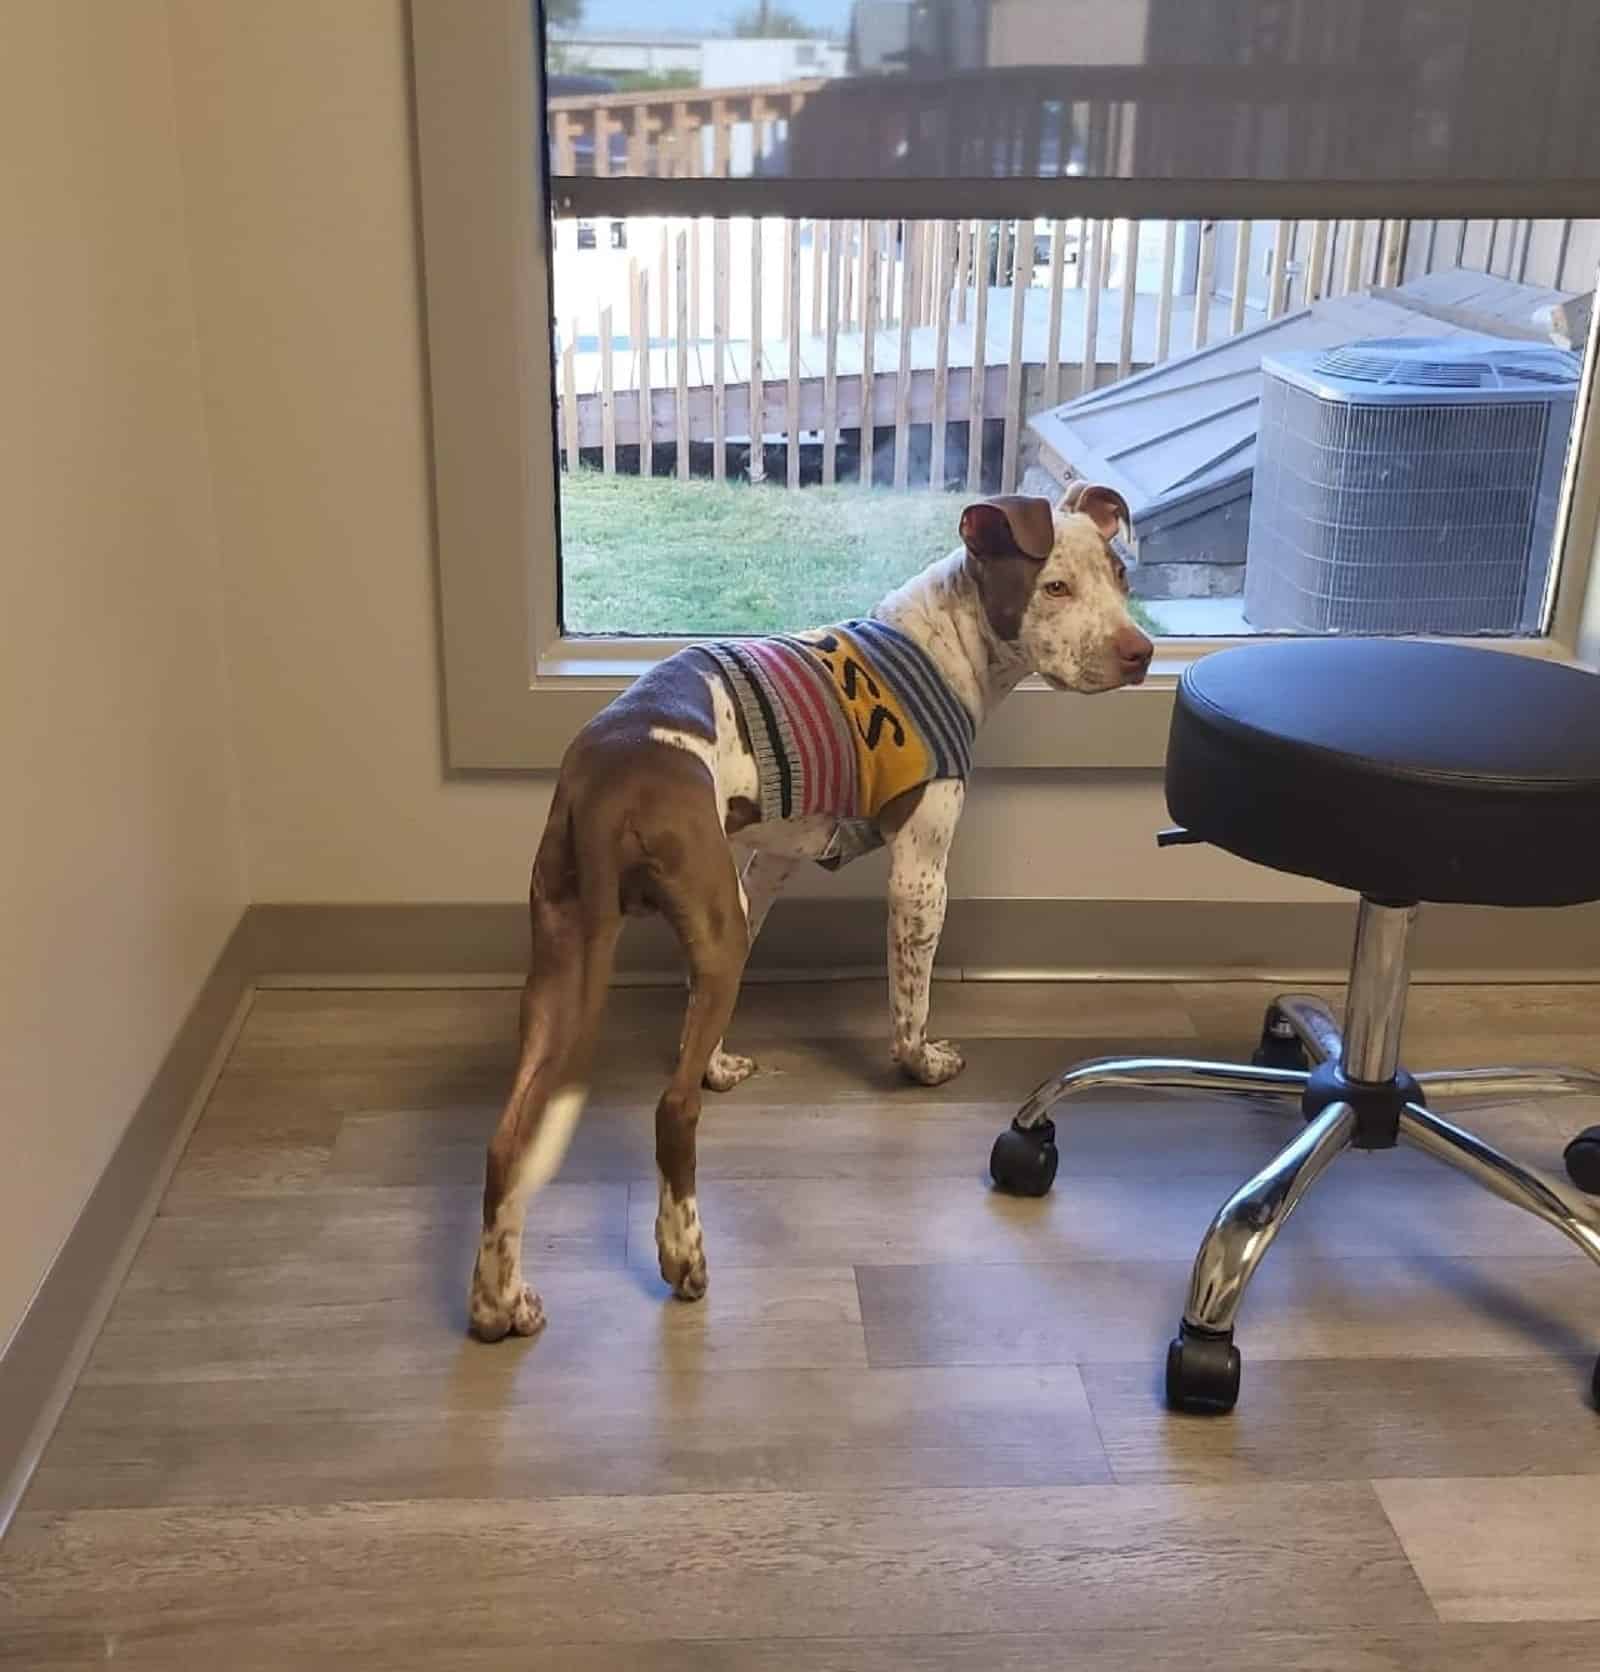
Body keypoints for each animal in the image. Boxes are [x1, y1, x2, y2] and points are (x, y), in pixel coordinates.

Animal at [468, 478, 1156, 1337]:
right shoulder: (921, 869)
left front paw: (719, 1057)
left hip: (576, 949)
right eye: (1055, 586)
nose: (1141, 652)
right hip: (693, 937)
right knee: (671, 1112)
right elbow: (910, 1000)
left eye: (1122, 579)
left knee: (509, 1137)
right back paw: (682, 1257)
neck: (946, 642)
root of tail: (609, 773)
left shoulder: (765, 865)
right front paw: (920, 1066)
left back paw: (498, 1301)